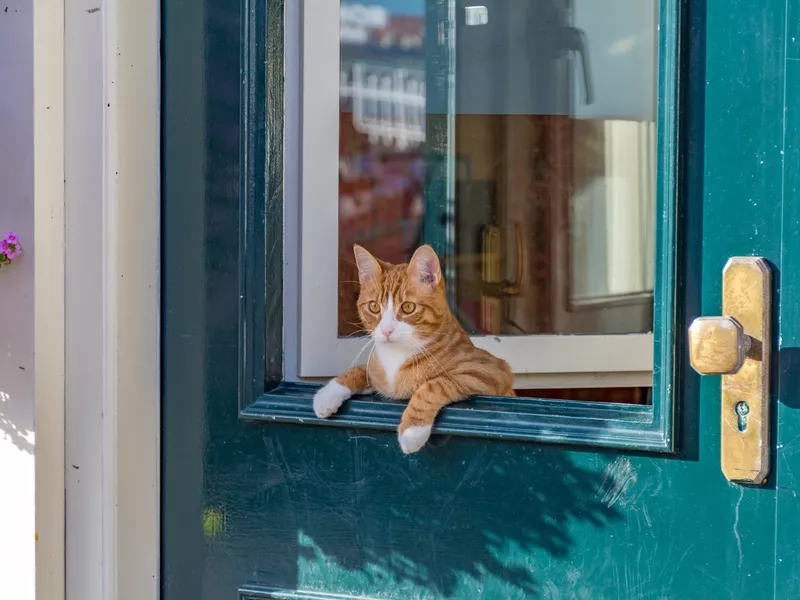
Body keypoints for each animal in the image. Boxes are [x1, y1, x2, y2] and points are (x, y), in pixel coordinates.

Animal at [312, 246, 512, 452]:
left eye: (408, 307)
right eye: (374, 307)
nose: (387, 330)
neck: (396, 356)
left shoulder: (489, 371)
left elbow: (434, 385)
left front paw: (412, 430)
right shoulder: (377, 376)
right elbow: (359, 370)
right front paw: (327, 394)